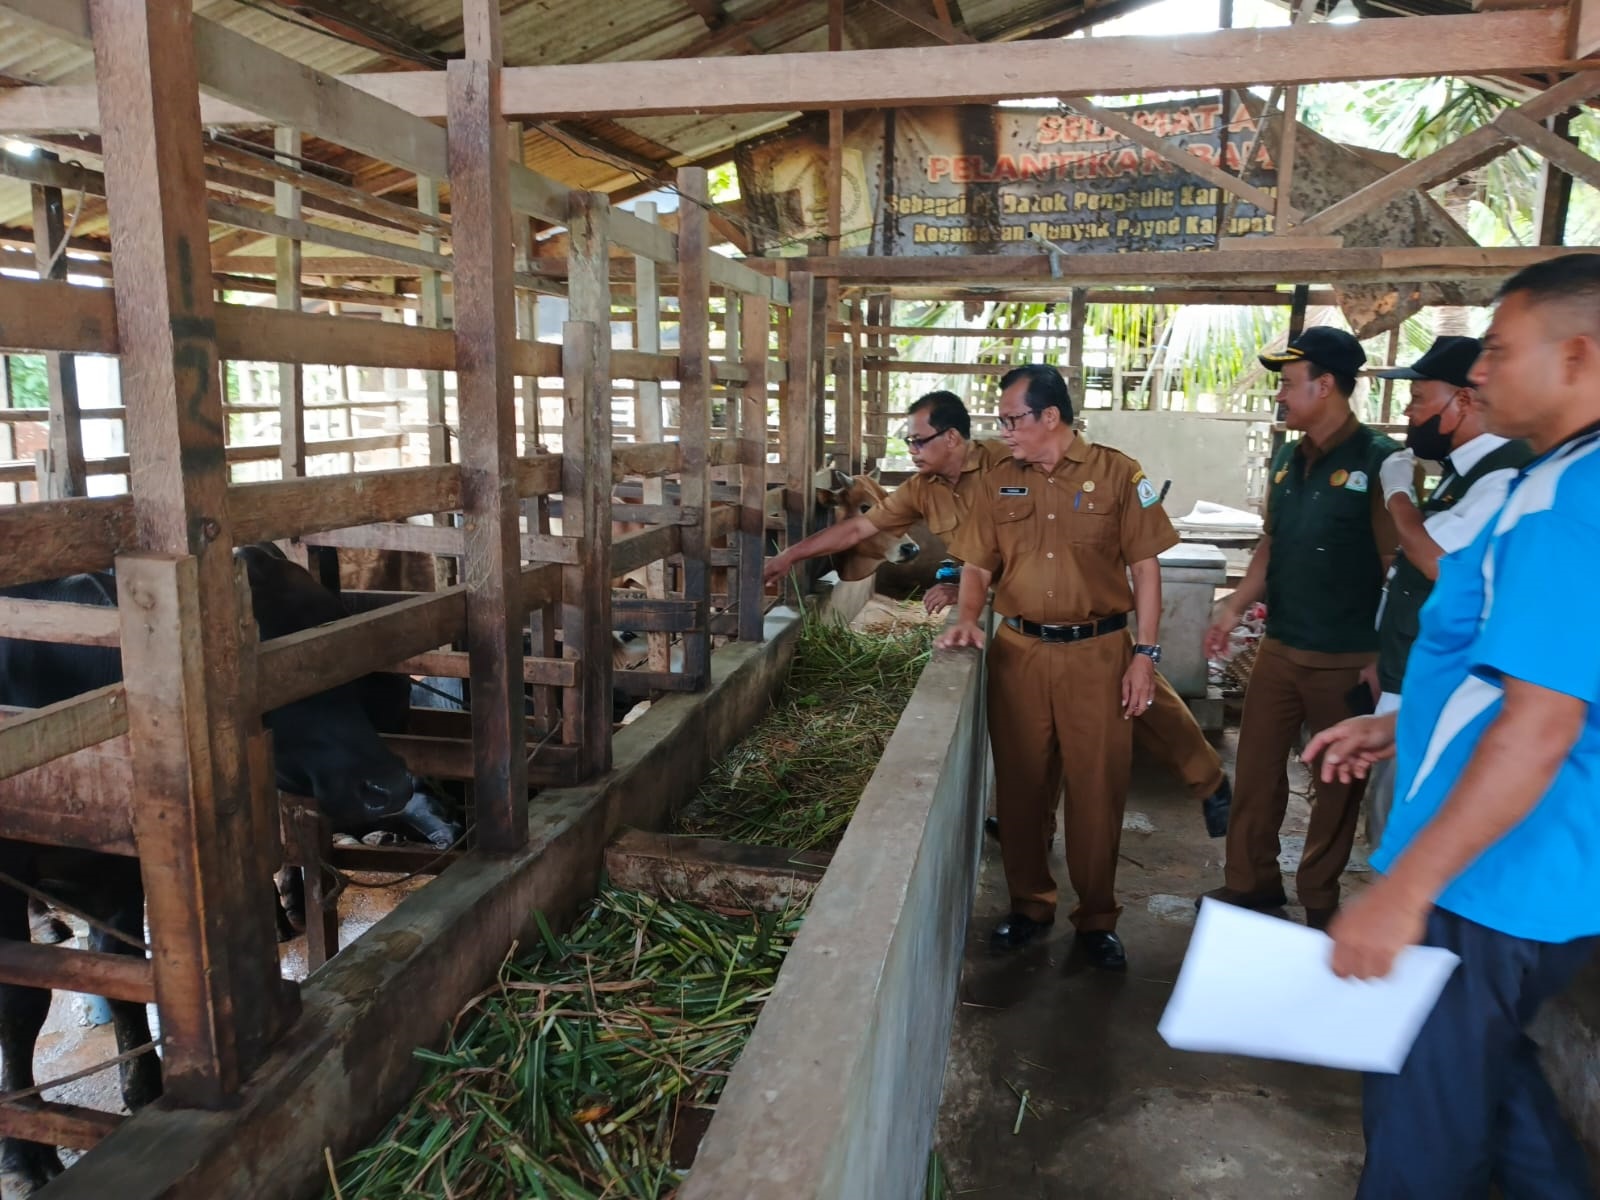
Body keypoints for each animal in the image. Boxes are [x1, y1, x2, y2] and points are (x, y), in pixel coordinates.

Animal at [0, 550, 419, 1196]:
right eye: (262, 672)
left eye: (330, 649)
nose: (391, 786)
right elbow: (20, 1005)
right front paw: (26, 1154)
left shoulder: (123, 868)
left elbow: (122, 968)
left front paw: (146, 1089)